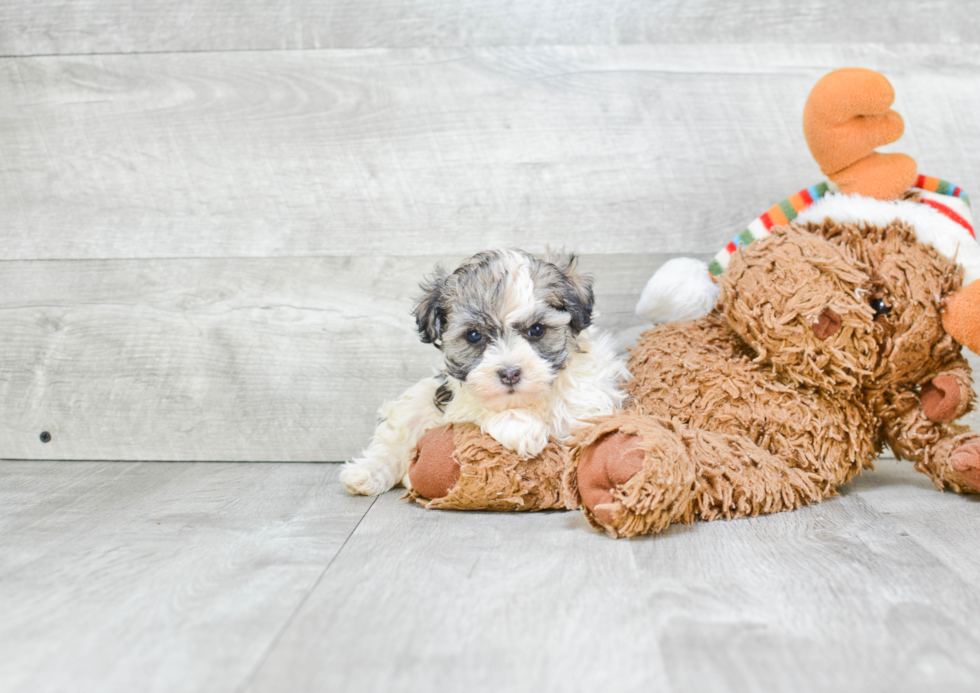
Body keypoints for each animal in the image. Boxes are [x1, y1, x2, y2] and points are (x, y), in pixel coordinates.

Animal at [338, 249, 628, 498]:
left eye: (536, 330)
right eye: (474, 336)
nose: (510, 373)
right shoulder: (455, 401)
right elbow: (480, 407)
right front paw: (520, 428)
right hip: (416, 402)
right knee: (393, 439)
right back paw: (364, 474)